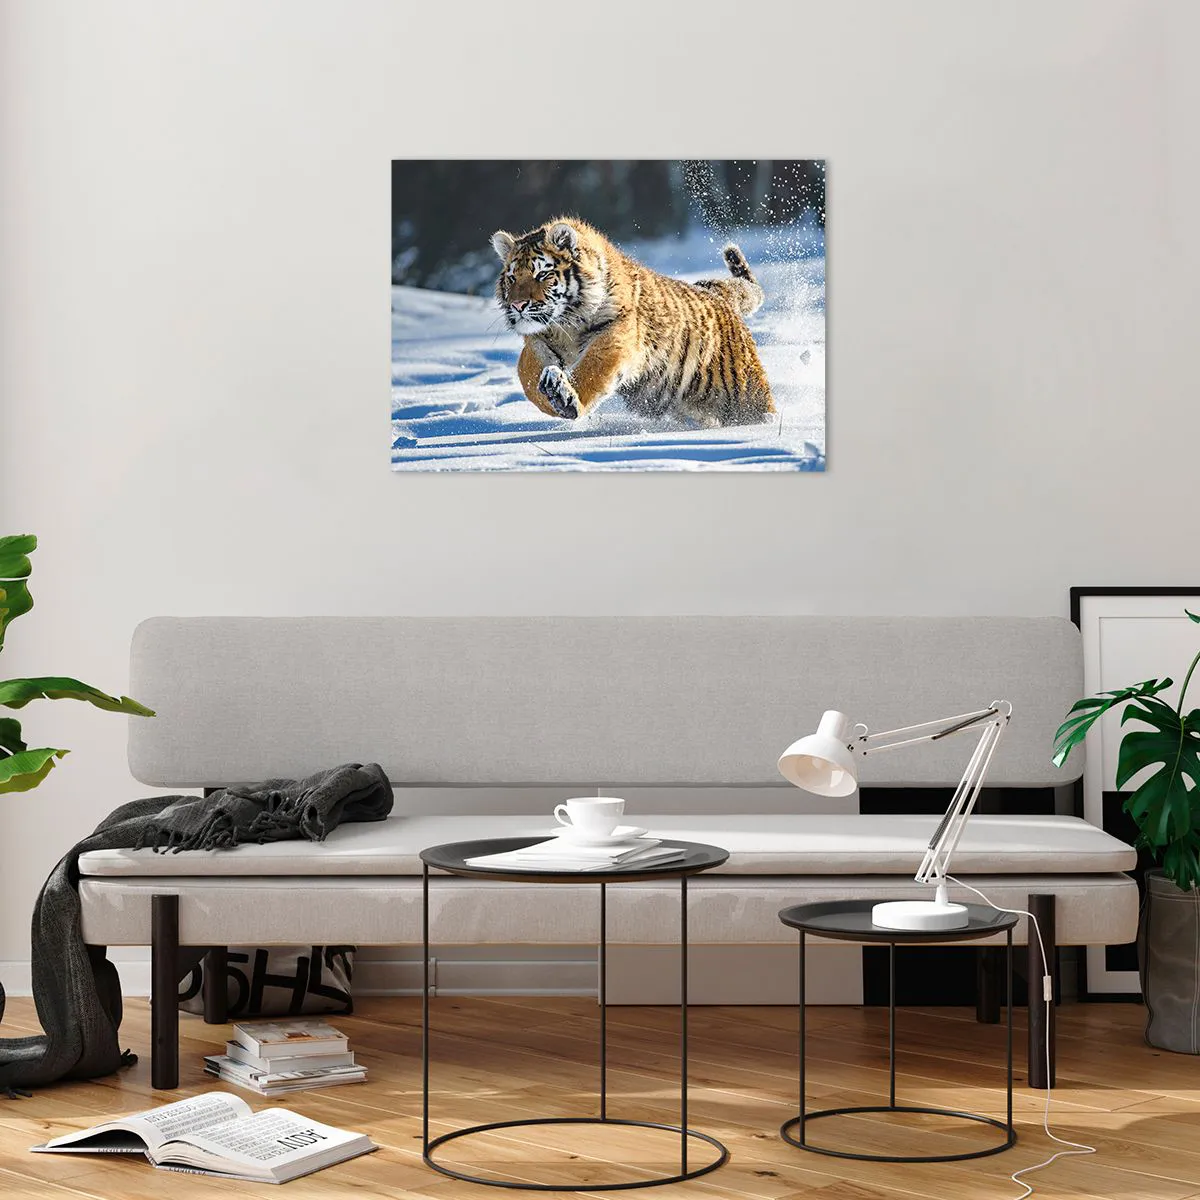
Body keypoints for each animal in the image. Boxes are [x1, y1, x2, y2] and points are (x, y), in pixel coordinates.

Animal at [490, 216, 775, 427]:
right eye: (512, 278)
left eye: (542, 275)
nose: (518, 305)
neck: (566, 325)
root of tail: (716, 293)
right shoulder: (538, 340)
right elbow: (527, 374)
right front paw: (549, 394)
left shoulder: (615, 335)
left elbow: (592, 369)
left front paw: (565, 398)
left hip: (746, 394)